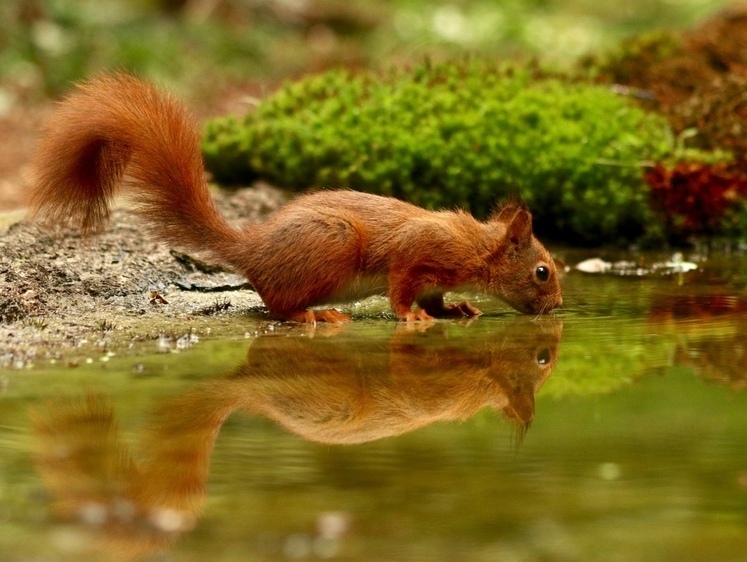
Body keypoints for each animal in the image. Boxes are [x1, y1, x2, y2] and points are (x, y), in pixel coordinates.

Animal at [29, 73, 564, 324]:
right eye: (543, 271)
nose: (559, 306)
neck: (476, 247)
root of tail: (252, 250)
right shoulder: (417, 253)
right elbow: (401, 287)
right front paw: (412, 317)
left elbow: (437, 297)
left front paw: (456, 310)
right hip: (331, 248)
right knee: (276, 305)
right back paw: (314, 315)